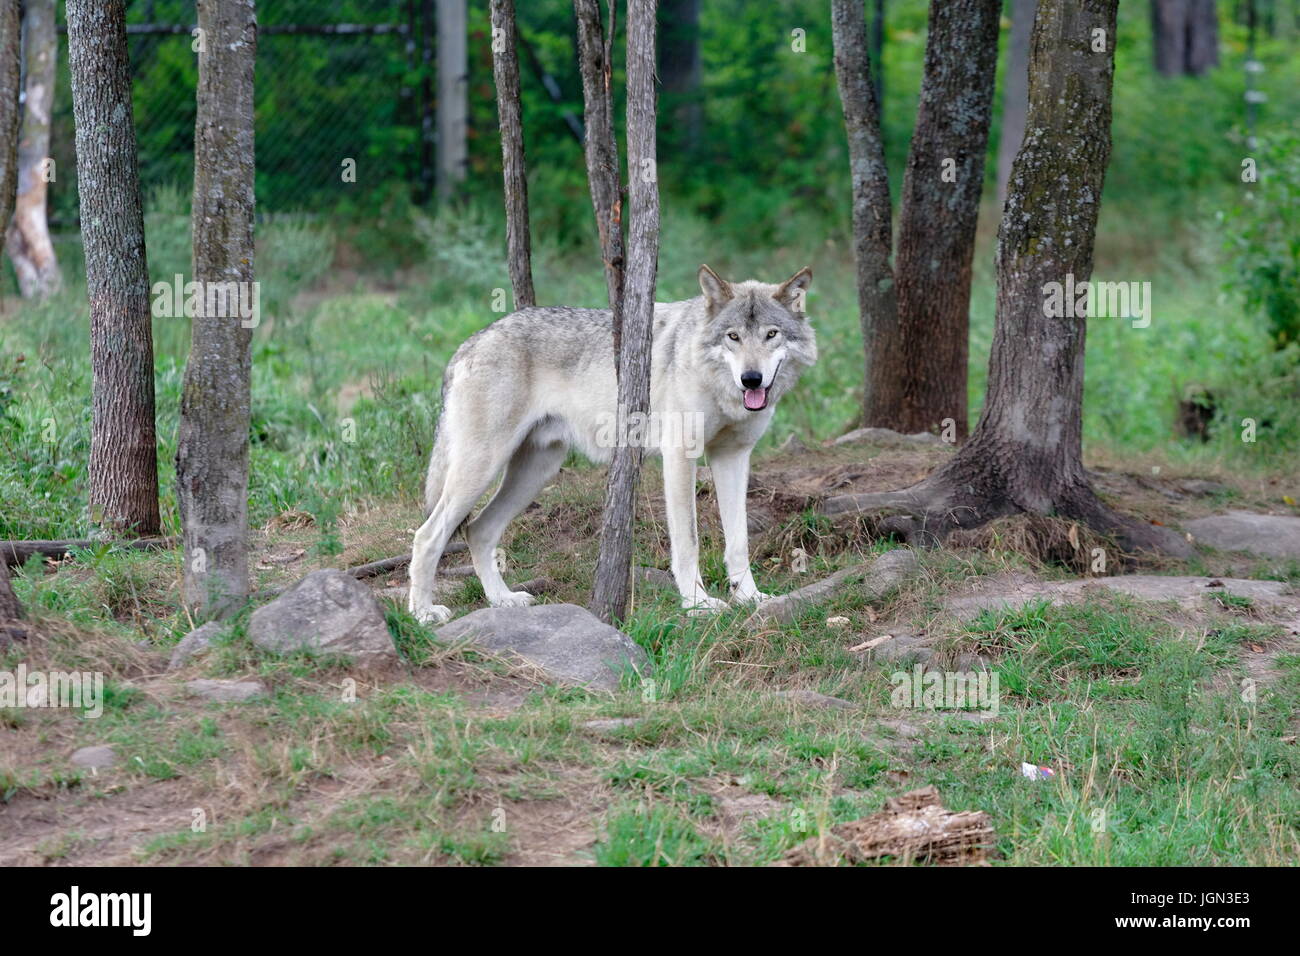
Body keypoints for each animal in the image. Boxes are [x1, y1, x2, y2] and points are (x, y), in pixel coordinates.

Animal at [408, 265, 811, 624]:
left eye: (771, 334)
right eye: (733, 337)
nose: (751, 379)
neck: (717, 383)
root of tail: (469, 343)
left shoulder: (733, 457)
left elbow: (739, 541)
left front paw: (750, 597)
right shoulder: (681, 458)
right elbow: (689, 542)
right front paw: (697, 604)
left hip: (536, 471)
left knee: (478, 531)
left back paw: (502, 600)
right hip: (483, 468)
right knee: (426, 536)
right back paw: (423, 613)